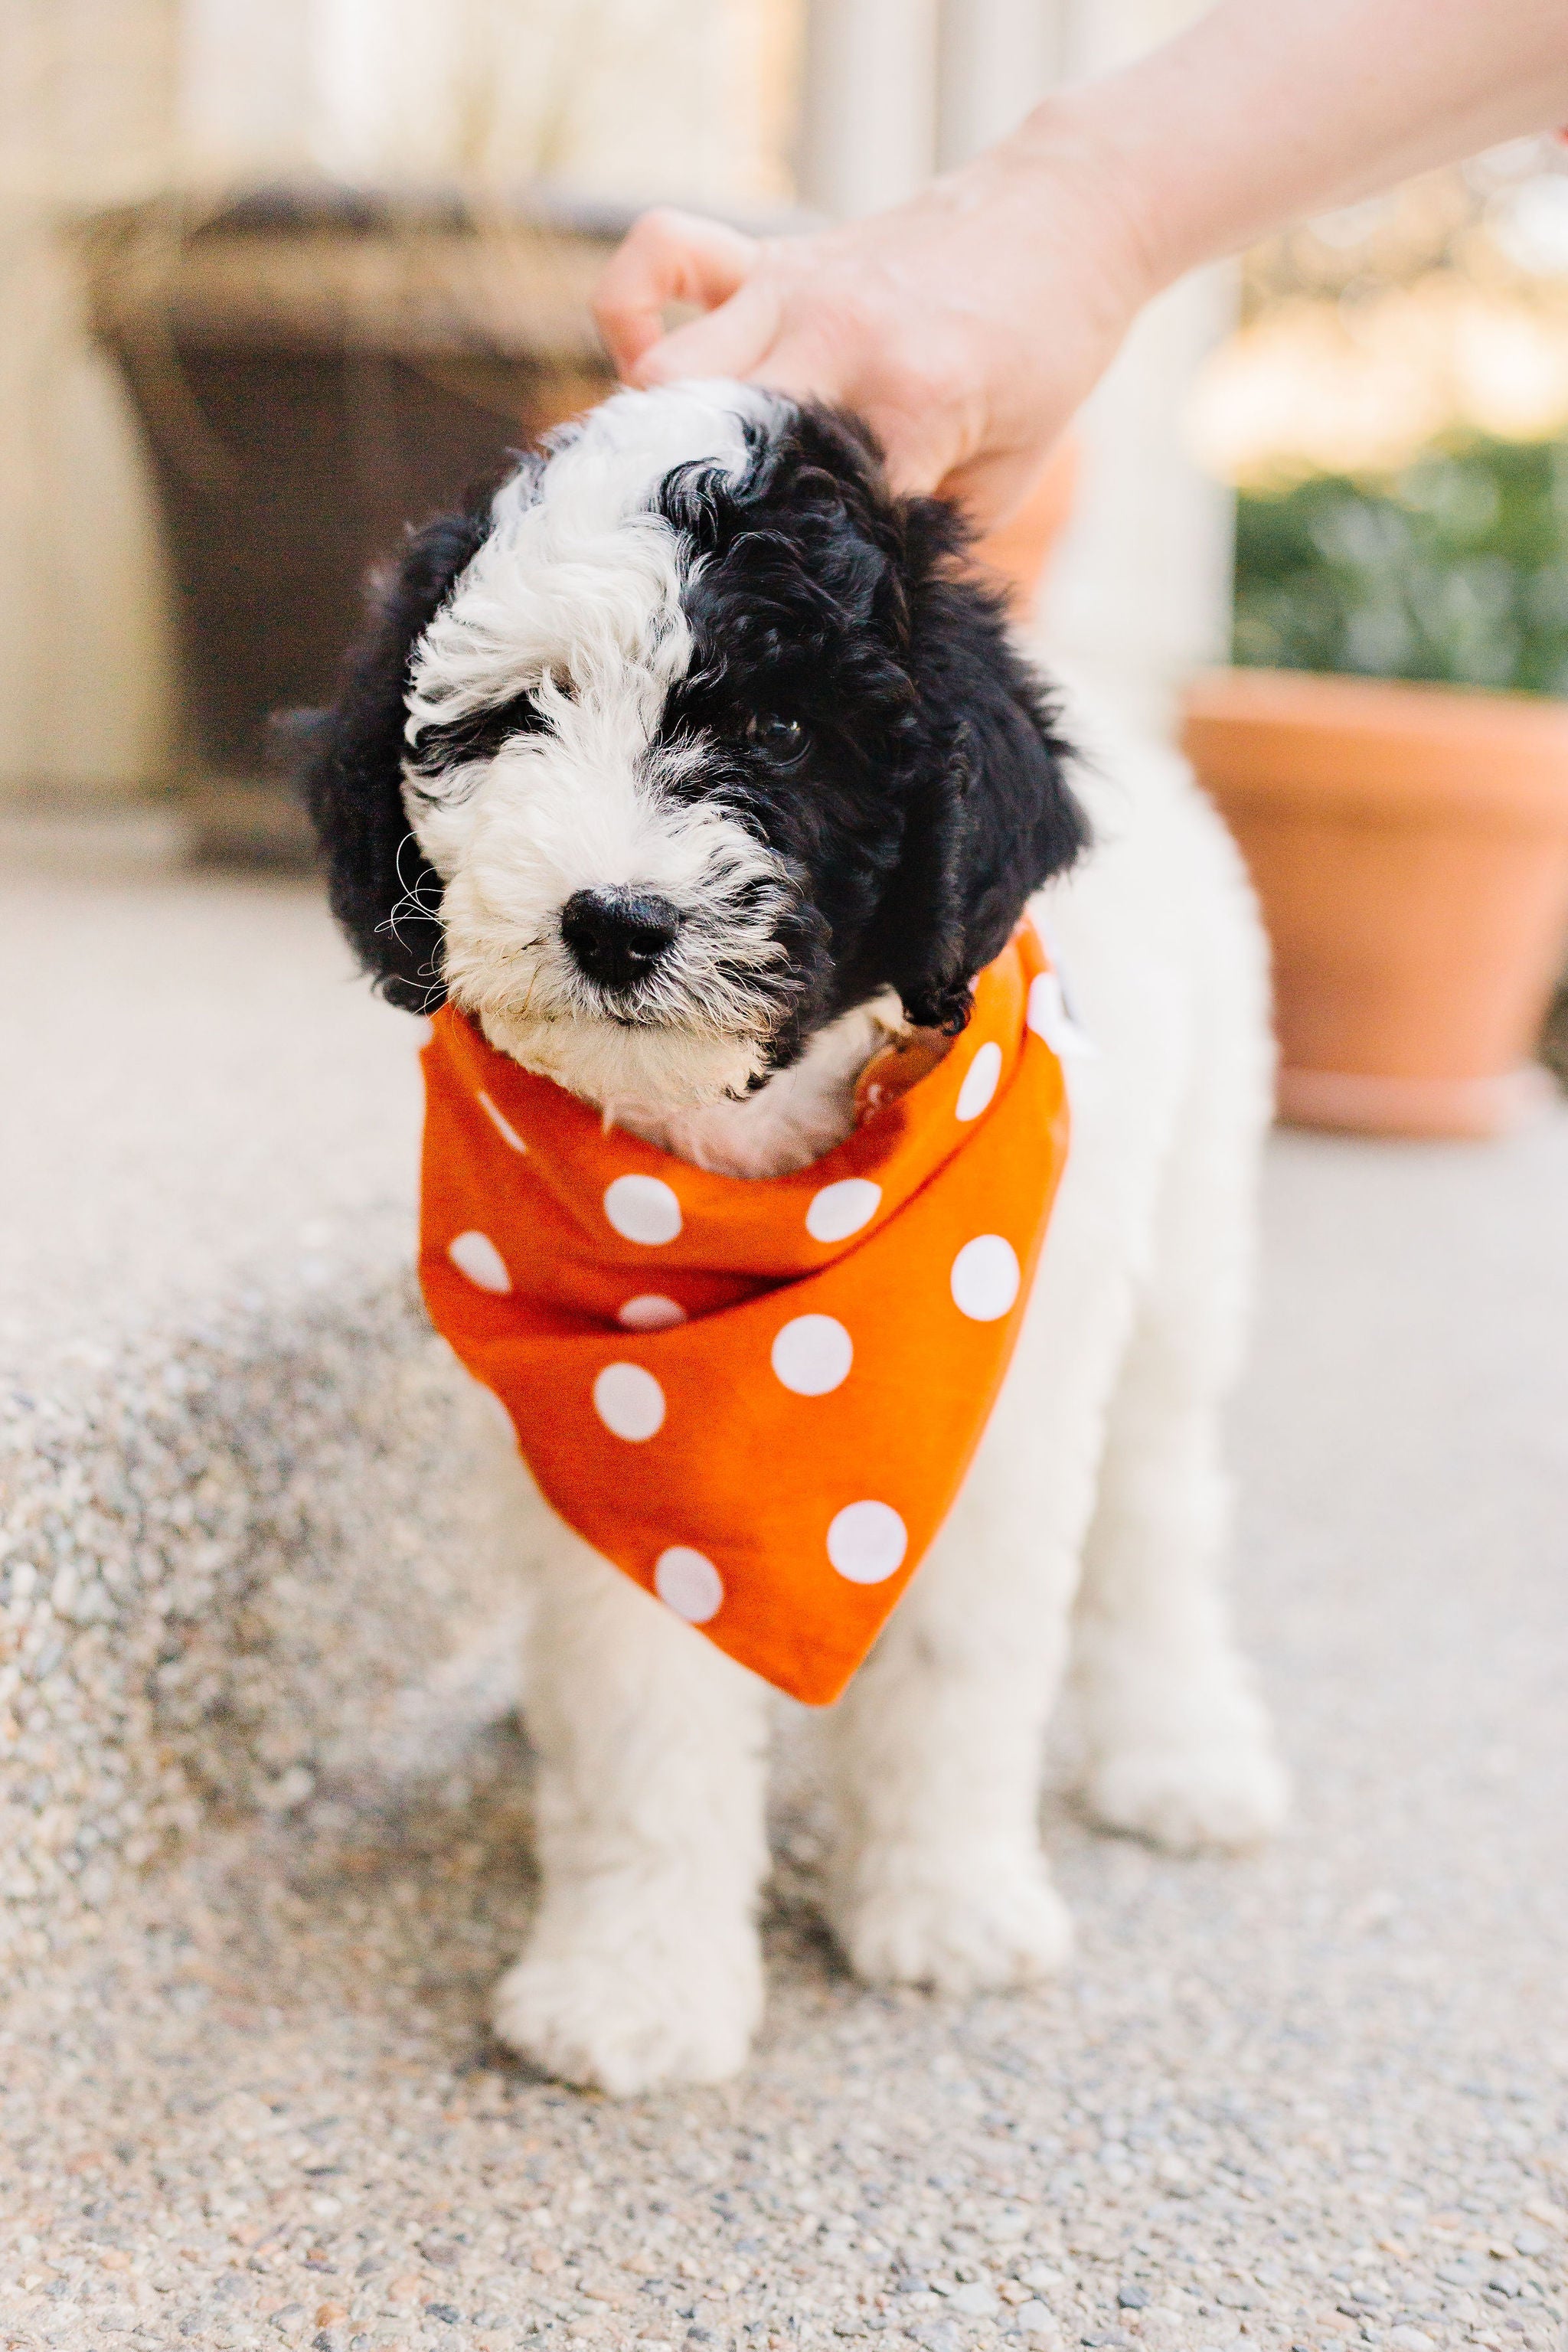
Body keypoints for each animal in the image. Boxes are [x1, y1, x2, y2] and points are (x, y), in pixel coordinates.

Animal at [305, 385, 1288, 2098]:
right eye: (512, 721)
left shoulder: (991, 1409)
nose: (613, 919)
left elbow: (966, 1660)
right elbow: (641, 1726)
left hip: (1182, 1230)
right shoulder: (620, 1487)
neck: (735, 1186)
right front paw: (633, 1984)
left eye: (774, 733)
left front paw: (945, 1904)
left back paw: (1179, 1746)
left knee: (1159, 1504)